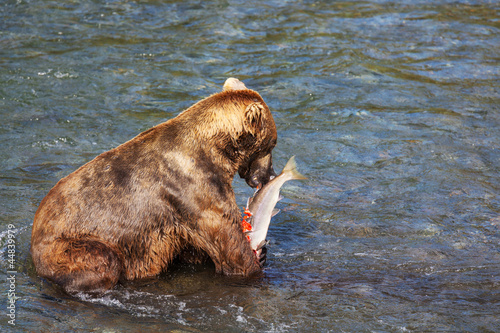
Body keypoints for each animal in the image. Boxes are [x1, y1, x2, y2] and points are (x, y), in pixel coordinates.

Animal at [30, 78, 278, 294]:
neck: (216, 150)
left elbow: (198, 250)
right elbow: (230, 247)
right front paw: (255, 266)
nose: (270, 175)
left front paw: (262, 253)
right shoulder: (194, 187)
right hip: (67, 243)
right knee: (103, 260)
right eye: (272, 144)